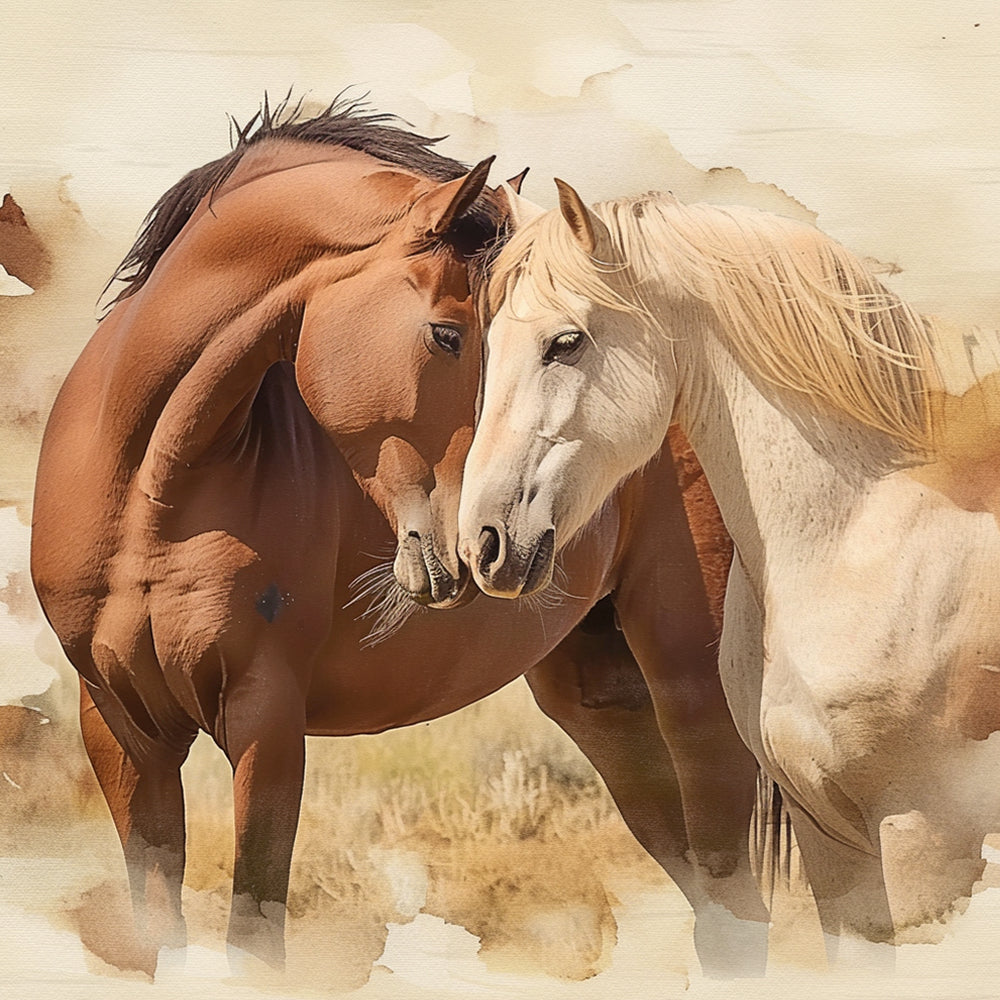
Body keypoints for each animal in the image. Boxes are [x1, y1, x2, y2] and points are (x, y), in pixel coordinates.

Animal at [30, 101, 766, 979]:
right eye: (449, 336)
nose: (482, 539)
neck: (151, 495)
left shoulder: (265, 725)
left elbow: (255, 934)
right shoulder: (121, 732)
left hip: (694, 689)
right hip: (605, 704)